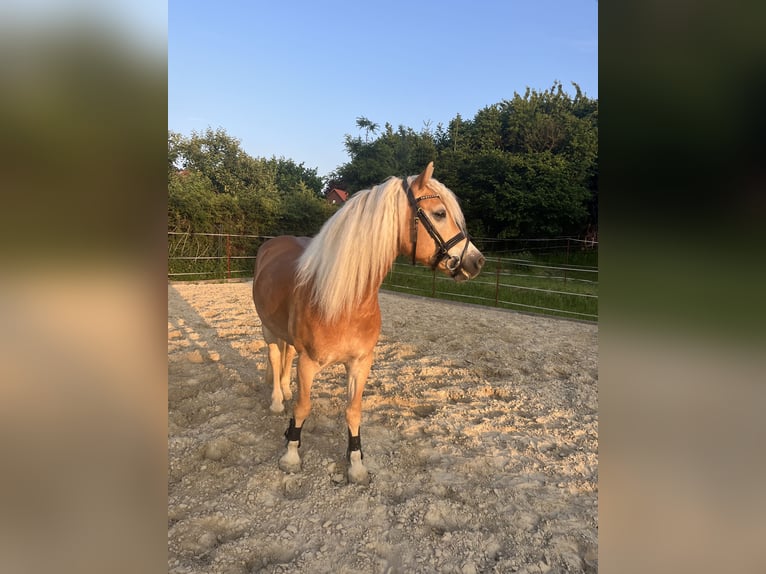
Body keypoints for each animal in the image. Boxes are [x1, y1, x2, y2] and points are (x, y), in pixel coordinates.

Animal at [252, 162, 485, 484]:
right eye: (439, 213)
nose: (476, 261)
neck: (345, 301)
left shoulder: (361, 363)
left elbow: (353, 411)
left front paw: (356, 464)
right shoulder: (309, 363)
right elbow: (302, 407)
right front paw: (291, 454)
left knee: (285, 359)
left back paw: (285, 390)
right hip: (268, 330)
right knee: (275, 357)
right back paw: (276, 399)